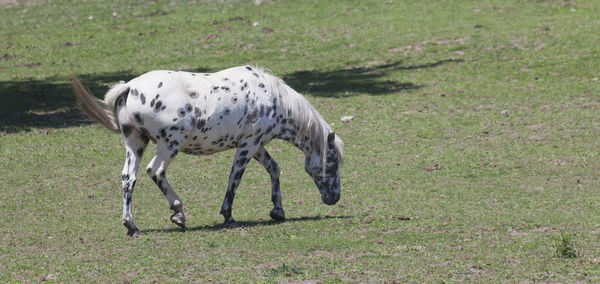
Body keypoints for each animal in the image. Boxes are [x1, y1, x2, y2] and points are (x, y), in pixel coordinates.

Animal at [71, 65, 344, 236]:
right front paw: (228, 216)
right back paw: (178, 213)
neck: (271, 98)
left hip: (136, 143)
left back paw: (132, 226)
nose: (334, 198)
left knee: (129, 178)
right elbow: (234, 179)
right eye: (332, 163)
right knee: (155, 171)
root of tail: (130, 87)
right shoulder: (248, 146)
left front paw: (277, 210)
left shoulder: (256, 146)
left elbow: (274, 169)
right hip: (169, 145)